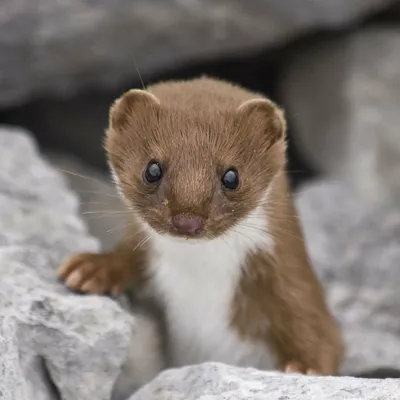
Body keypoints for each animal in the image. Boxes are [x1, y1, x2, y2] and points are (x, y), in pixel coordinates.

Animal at [57, 76, 346, 376]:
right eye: (152, 169)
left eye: (232, 176)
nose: (187, 220)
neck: (200, 276)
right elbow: (128, 256)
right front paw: (91, 268)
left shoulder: (290, 282)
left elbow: (319, 333)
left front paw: (306, 368)